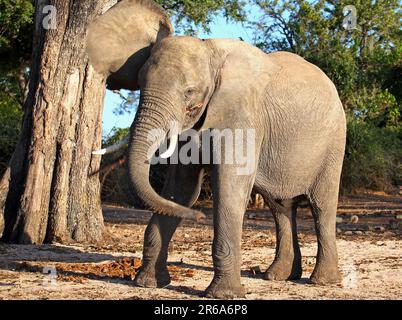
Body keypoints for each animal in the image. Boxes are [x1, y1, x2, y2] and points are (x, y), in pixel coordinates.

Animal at [86, 0, 348, 300]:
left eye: (189, 93)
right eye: (140, 85)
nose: (199, 216)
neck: (210, 53)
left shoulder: (243, 117)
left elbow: (229, 189)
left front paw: (223, 295)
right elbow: (181, 190)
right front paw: (148, 284)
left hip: (334, 140)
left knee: (322, 205)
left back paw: (322, 281)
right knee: (280, 206)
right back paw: (278, 277)